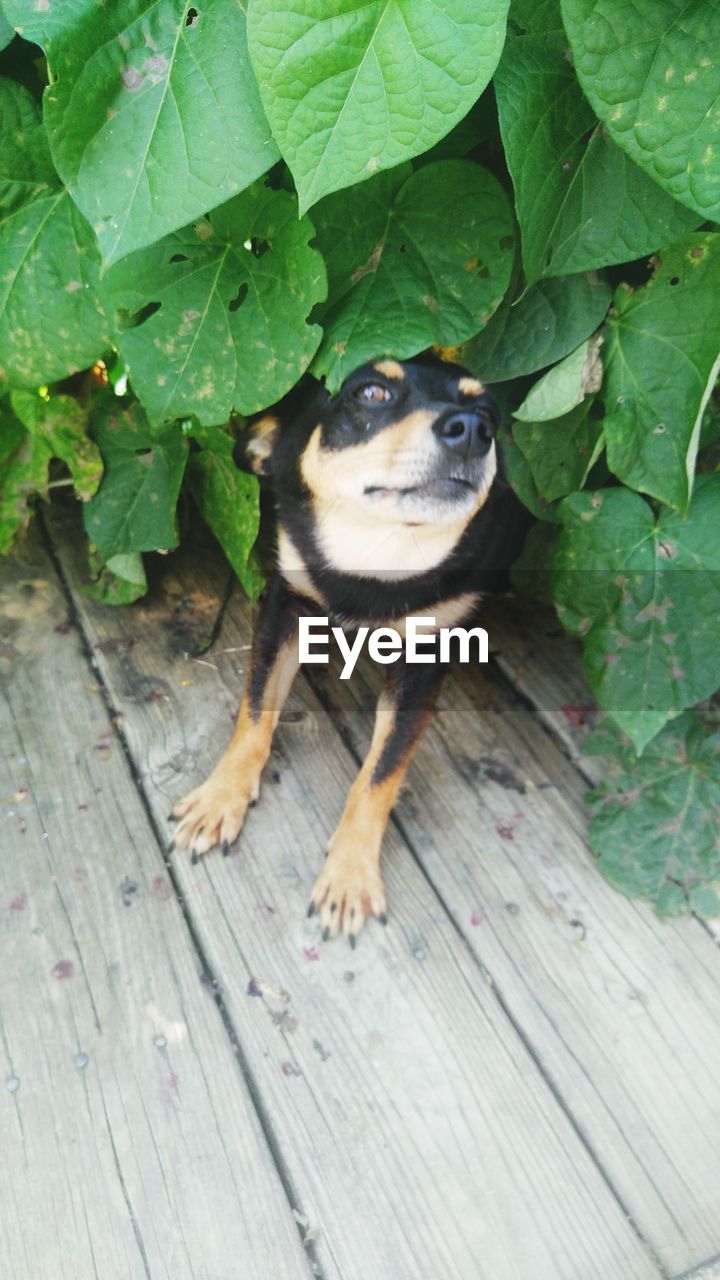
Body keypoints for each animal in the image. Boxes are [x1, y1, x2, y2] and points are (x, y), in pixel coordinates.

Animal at [169, 355, 527, 947]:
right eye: (370, 392)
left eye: (489, 412)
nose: (475, 430)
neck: (375, 560)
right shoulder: (284, 607)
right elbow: (253, 713)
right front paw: (221, 798)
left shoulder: (424, 663)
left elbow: (380, 775)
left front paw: (350, 875)